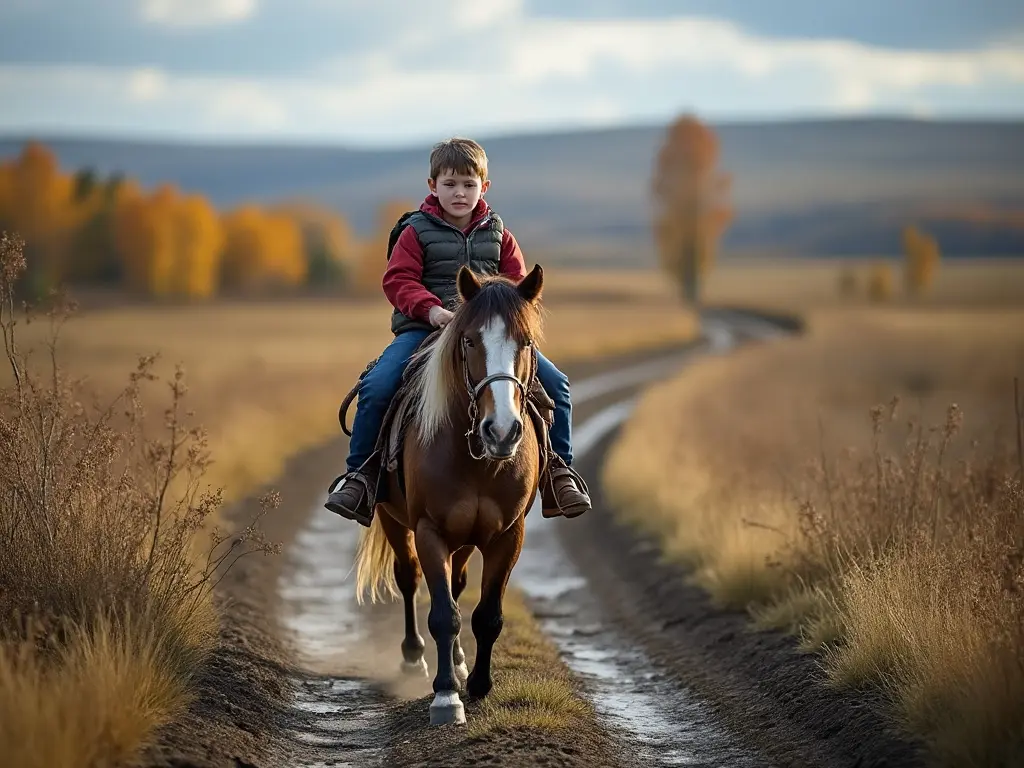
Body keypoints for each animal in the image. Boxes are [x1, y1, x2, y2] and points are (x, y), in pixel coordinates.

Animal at [352, 262, 548, 724]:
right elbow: (442, 614)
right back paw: (413, 659)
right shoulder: (429, 530)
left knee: (458, 585)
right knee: (409, 580)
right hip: (393, 520)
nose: (501, 431)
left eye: (526, 342)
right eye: (470, 340)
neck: (477, 457)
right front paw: (446, 697)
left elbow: (486, 615)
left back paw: (458, 662)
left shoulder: (508, 535)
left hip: (466, 538)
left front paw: (477, 685)